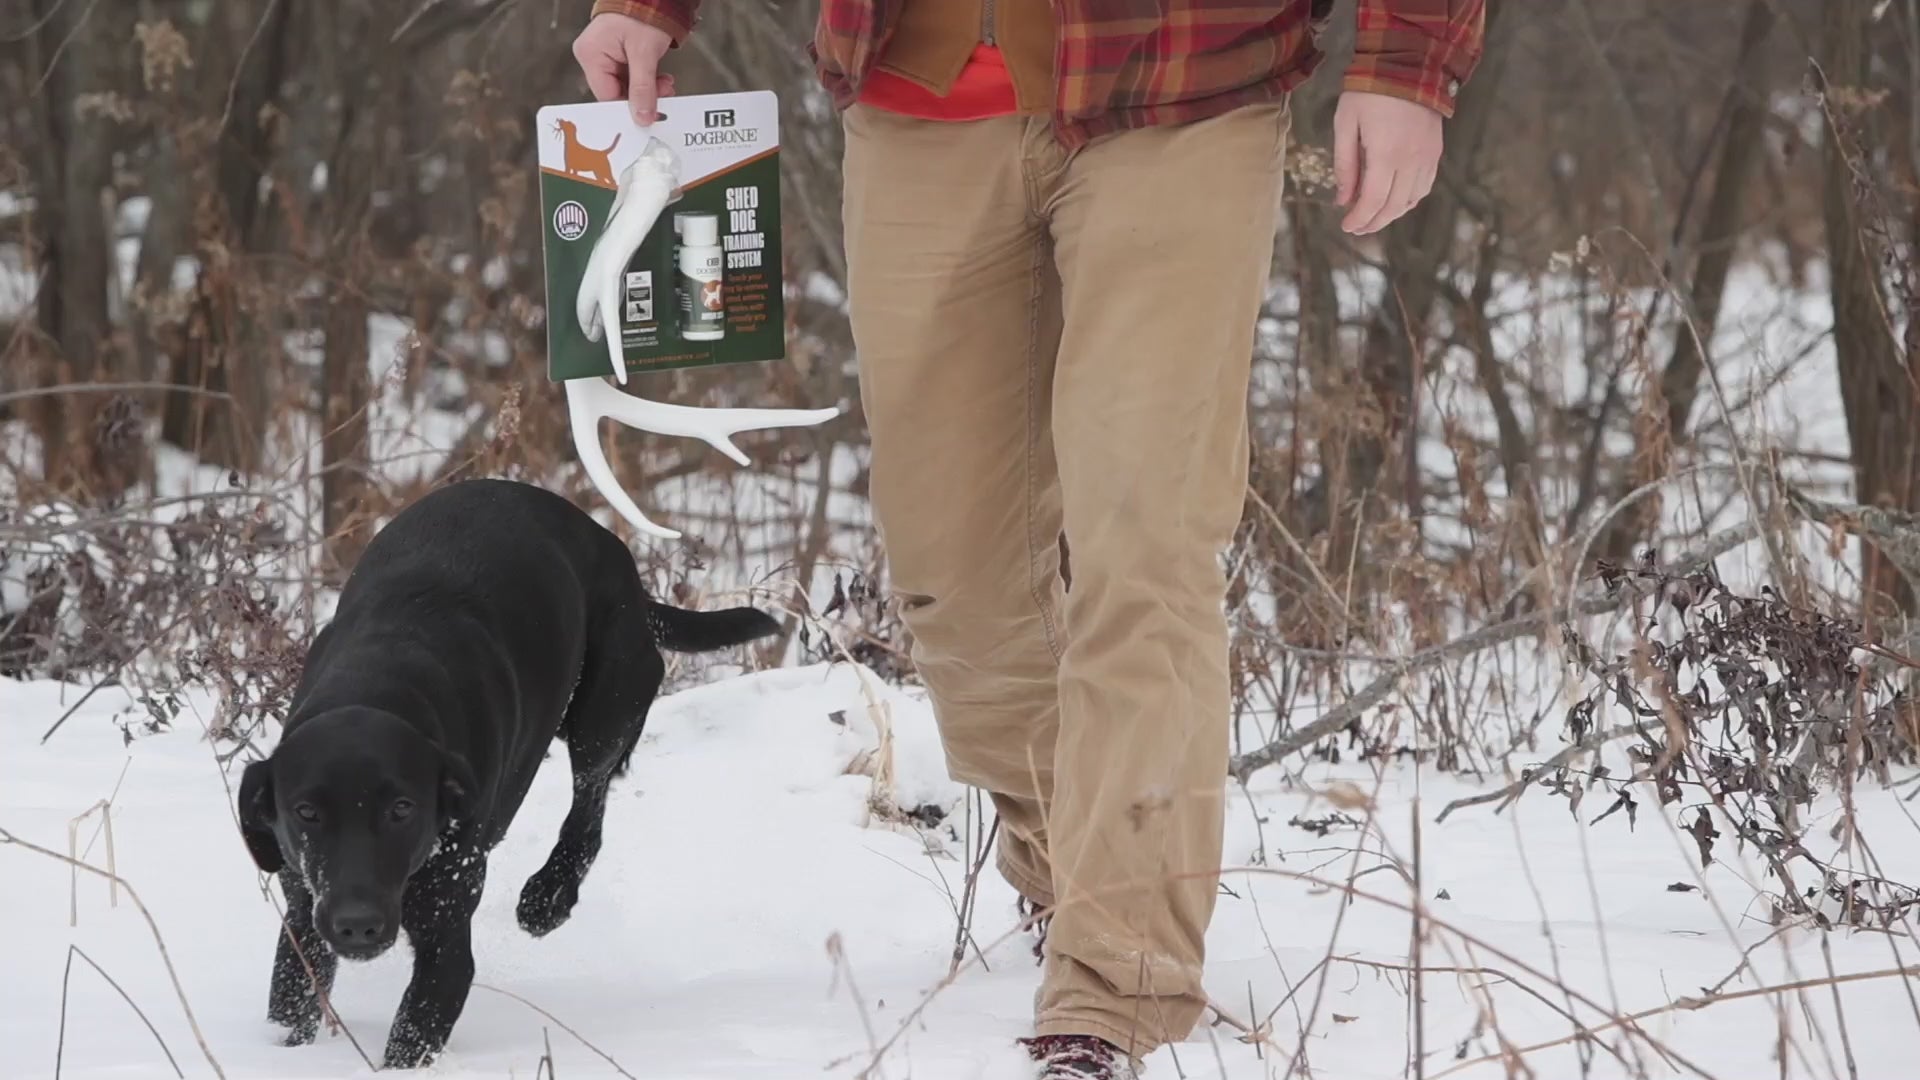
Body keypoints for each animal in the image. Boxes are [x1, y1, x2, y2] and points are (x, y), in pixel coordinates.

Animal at [236, 476, 775, 1060]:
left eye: (403, 808)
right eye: (306, 812)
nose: (358, 924)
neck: (378, 681)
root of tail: (605, 541)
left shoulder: (447, 946)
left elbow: (410, 1037)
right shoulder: (304, 919)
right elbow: (292, 1003)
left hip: (606, 707)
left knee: (589, 806)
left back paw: (549, 895)